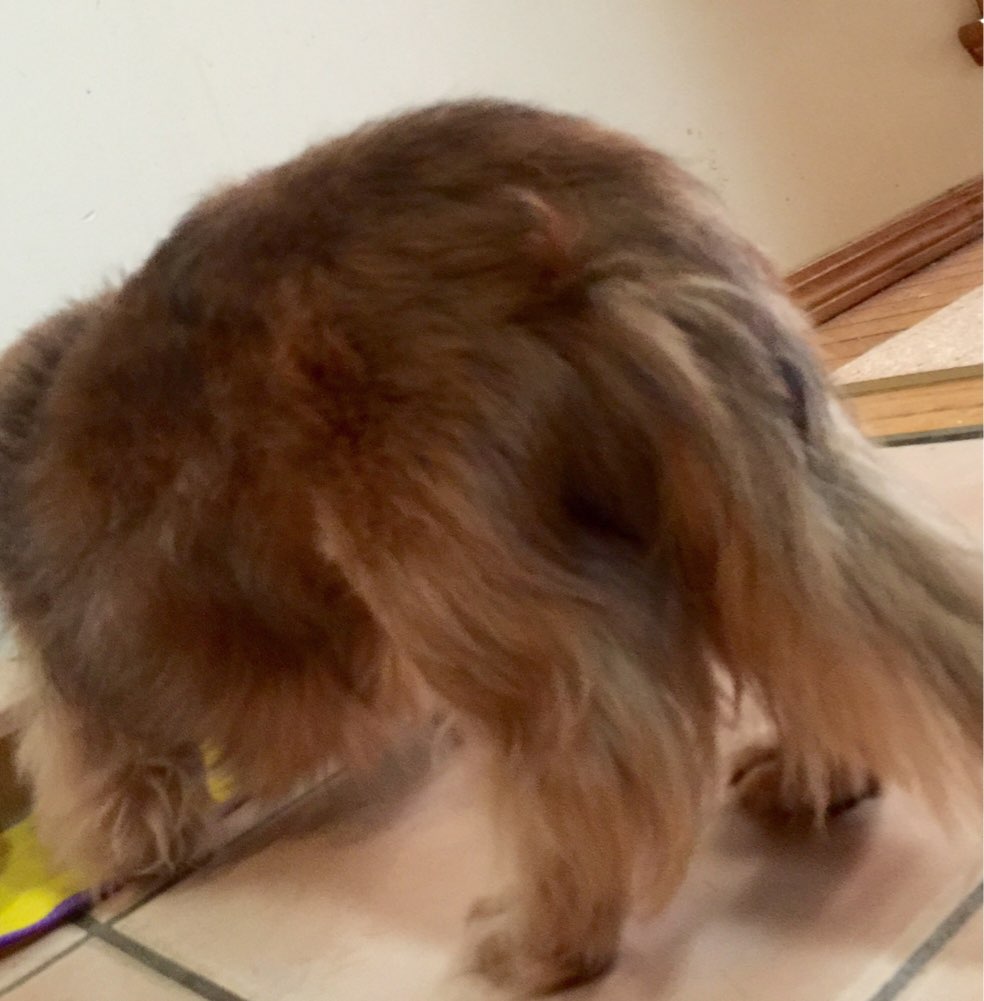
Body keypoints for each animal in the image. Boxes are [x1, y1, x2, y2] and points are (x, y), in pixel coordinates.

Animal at [0, 100, 979, 994]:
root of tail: (564, 197)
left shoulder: (76, 672)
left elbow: (105, 775)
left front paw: (134, 854)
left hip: (447, 578)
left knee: (588, 752)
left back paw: (549, 938)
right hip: (746, 480)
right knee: (810, 634)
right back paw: (819, 774)